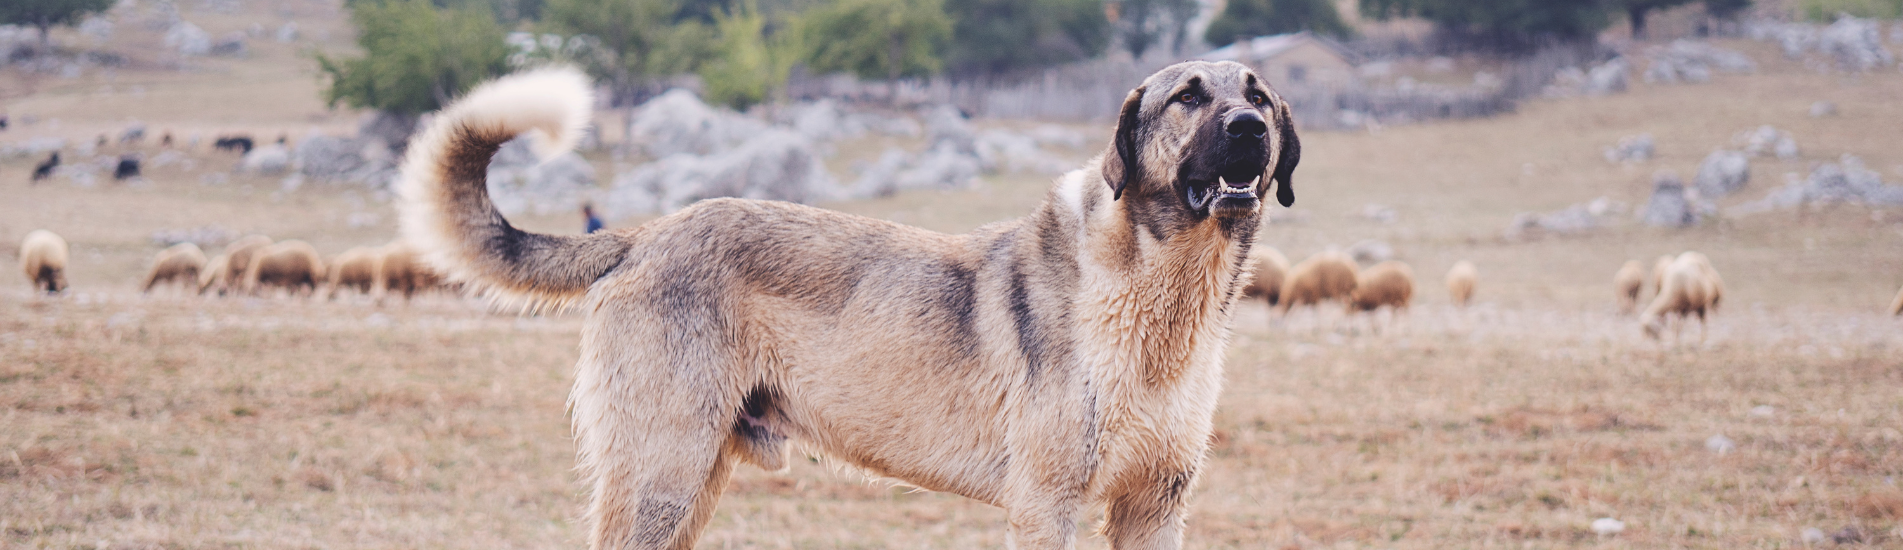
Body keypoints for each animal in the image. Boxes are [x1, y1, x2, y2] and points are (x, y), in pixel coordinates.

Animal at [395, 61, 1301, 544]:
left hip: (693, 478)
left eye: (1257, 94)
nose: (1250, 130)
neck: (1159, 295)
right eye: (1188, 97)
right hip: (662, 470)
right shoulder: (1048, 505)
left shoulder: (1154, 506)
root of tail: (646, 234)